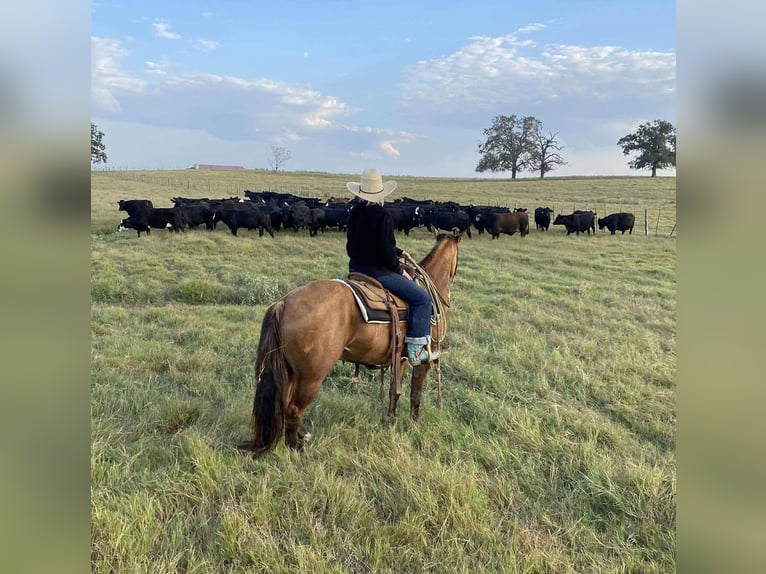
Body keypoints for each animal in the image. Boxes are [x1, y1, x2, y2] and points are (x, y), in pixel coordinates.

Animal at [243, 227, 464, 456]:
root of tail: (283, 303)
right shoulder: (424, 358)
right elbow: (415, 393)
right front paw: (414, 423)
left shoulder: (401, 358)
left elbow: (395, 391)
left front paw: (391, 421)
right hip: (311, 376)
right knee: (294, 409)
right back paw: (297, 449)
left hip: (291, 372)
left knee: (285, 404)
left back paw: (303, 436)